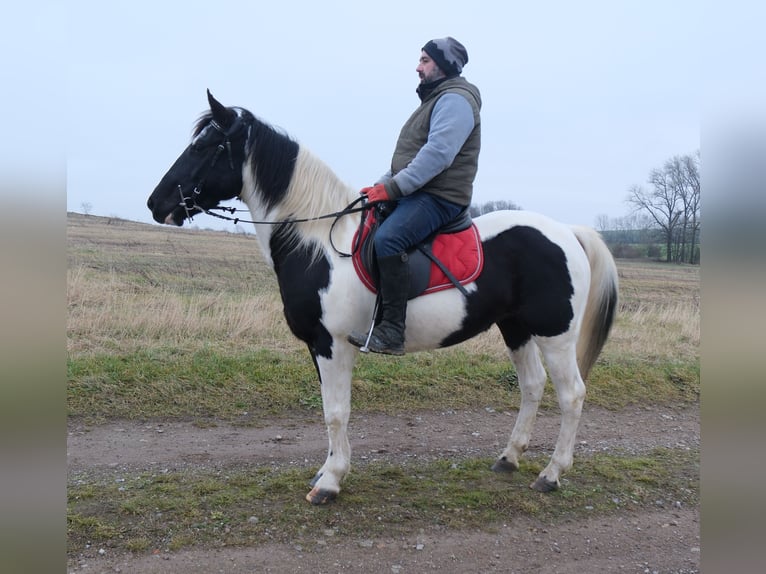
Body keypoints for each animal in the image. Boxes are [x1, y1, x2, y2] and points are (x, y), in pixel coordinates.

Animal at [147, 90, 619, 505]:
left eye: (206, 146)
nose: (156, 203)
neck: (318, 241)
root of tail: (567, 231)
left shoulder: (332, 344)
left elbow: (336, 412)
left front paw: (330, 483)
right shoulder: (319, 347)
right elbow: (330, 408)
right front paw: (327, 470)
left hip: (555, 334)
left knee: (571, 395)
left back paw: (551, 474)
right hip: (515, 327)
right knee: (532, 386)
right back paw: (509, 458)